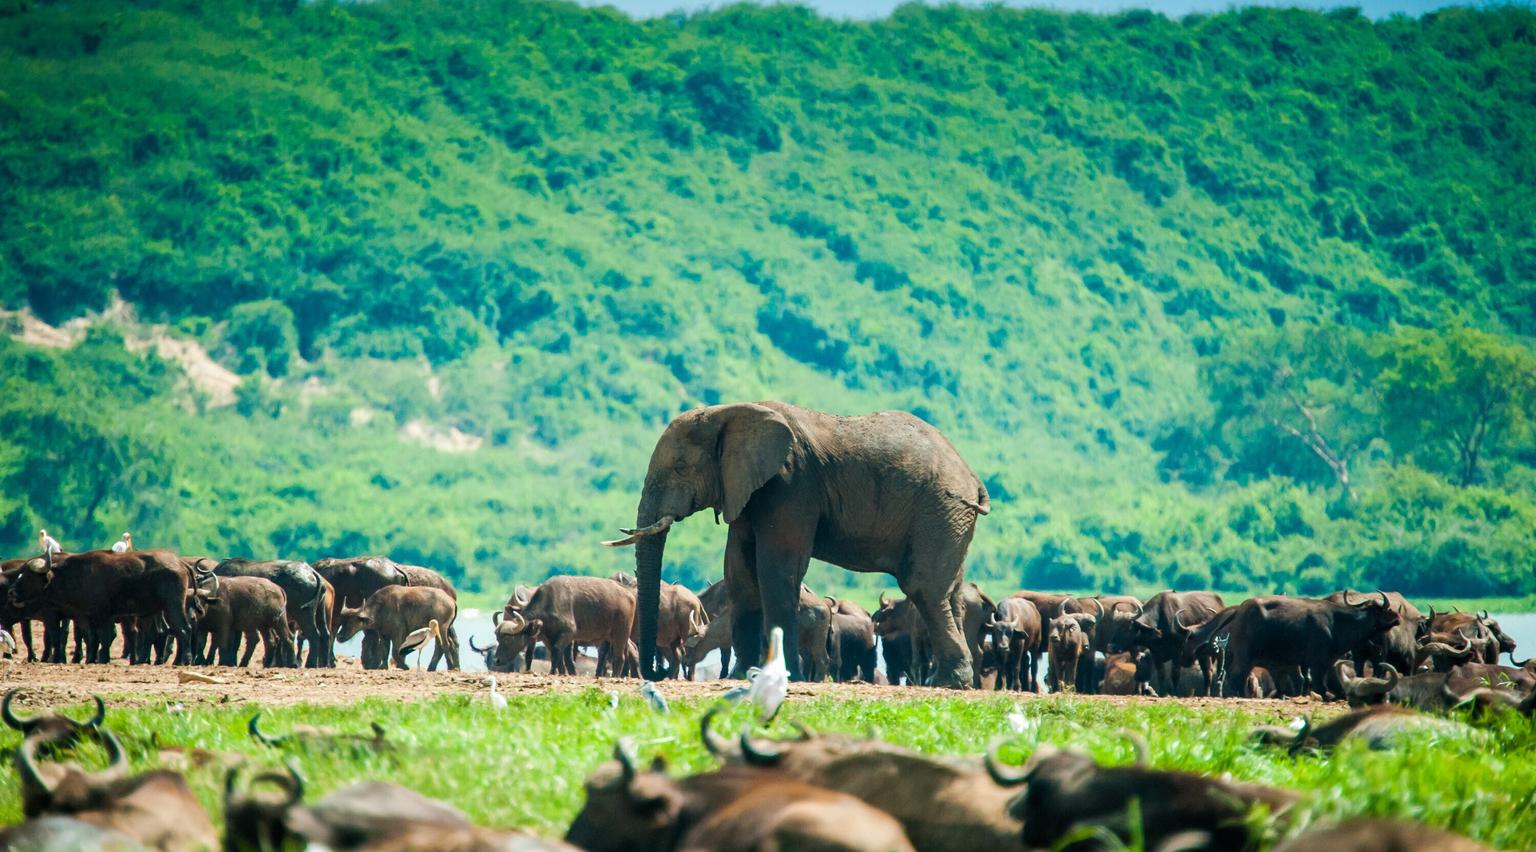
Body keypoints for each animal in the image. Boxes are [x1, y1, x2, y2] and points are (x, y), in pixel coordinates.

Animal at [604, 401, 989, 687]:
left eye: (681, 466)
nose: (657, 673)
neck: (728, 413)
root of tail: (972, 478)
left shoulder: (790, 484)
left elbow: (777, 570)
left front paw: (783, 676)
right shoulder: (746, 489)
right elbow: (740, 574)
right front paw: (743, 676)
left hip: (940, 508)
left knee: (923, 587)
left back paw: (950, 681)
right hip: (950, 516)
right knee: (949, 592)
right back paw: (948, 681)